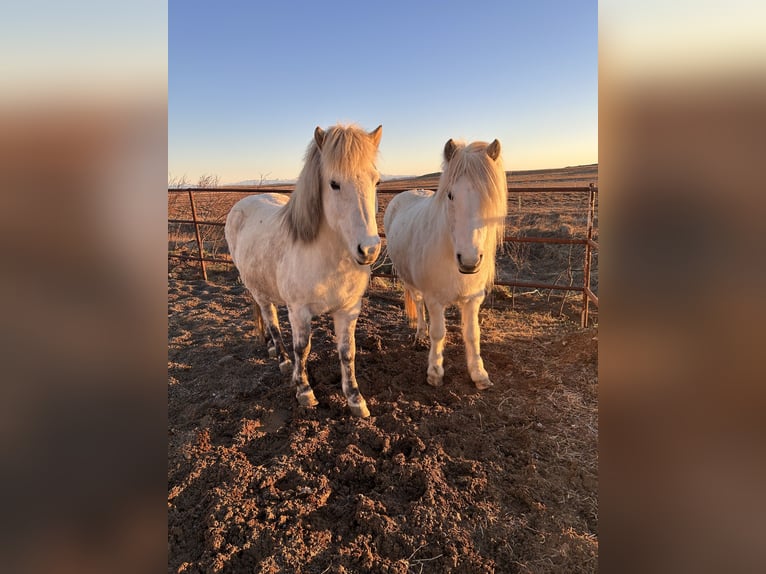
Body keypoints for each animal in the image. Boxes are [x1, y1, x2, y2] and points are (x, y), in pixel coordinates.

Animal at [225, 124, 383, 417]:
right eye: (334, 183)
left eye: (376, 181)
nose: (369, 250)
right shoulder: (299, 311)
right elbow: (303, 349)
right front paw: (304, 390)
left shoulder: (348, 310)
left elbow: (348, 352)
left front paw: (355, 399)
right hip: (258, 291)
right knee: (271, 320)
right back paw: (282, 360)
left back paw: (271, 348)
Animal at [383, 138, 507, 389]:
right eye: (450, 195)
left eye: (489, 197)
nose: (469, 260)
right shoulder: (434, 299)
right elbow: (438, 332)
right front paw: (435, 372)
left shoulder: (473, 299)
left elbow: (472, 334)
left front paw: (479, 374)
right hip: (409, 280)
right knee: (418, 304)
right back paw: (420, 335)